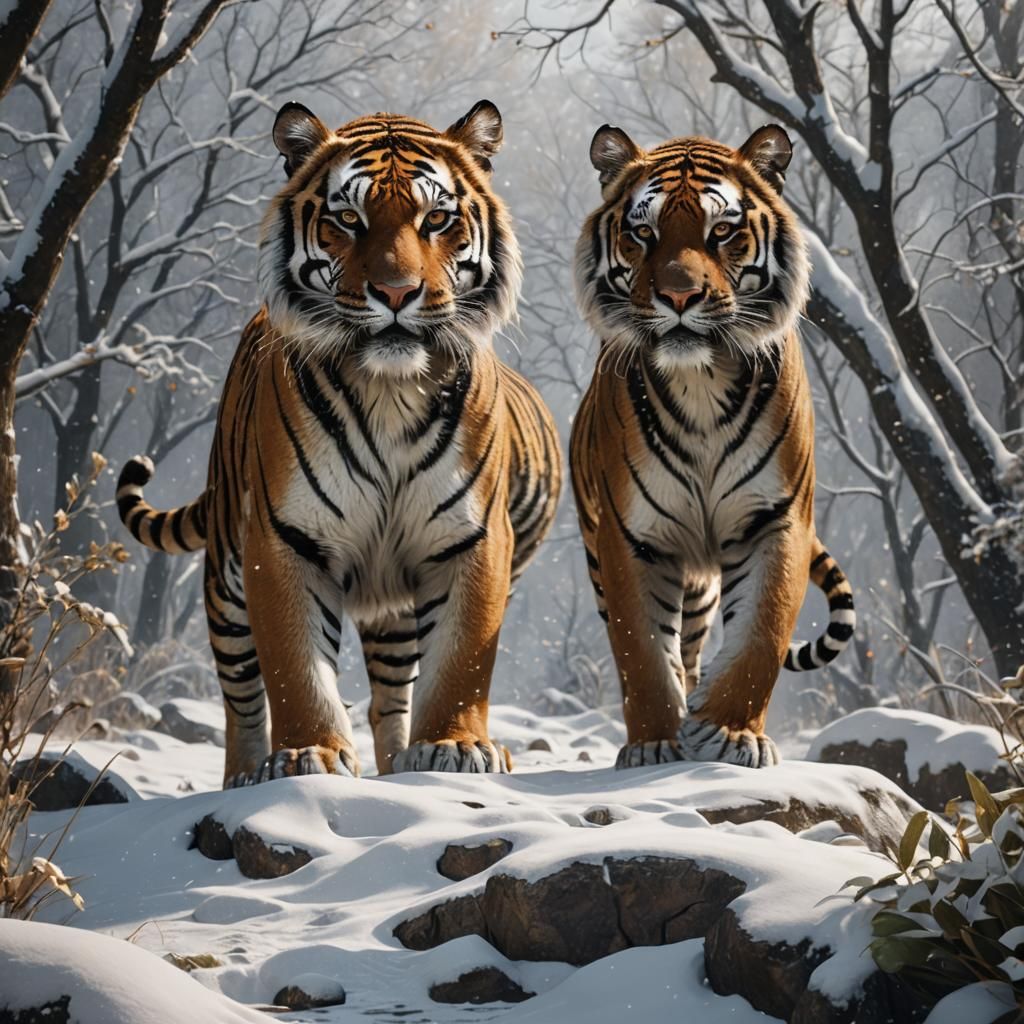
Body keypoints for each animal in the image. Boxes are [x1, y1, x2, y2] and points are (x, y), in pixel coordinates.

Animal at [116, 100, 561, 787]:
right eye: (348, 219)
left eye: (437, 219)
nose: (397, 293)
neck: (391, 389)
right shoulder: (282, 539)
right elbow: (296, 668)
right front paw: (310, 756)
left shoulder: (473, 538)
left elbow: (461, 659)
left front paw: (454, 747)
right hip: (225, 582)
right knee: (240, 698)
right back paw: (243, 774)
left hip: (393, 607)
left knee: (389, 696)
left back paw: (401, 763)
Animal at [570, 123, 855, 769]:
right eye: (642, 232)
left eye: (721, 230)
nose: (679, 297)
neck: (700, 380)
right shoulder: (630, 535)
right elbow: (641, 650)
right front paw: (653, 744)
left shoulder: (776, 520)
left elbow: (761, 634)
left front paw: (727, 734)